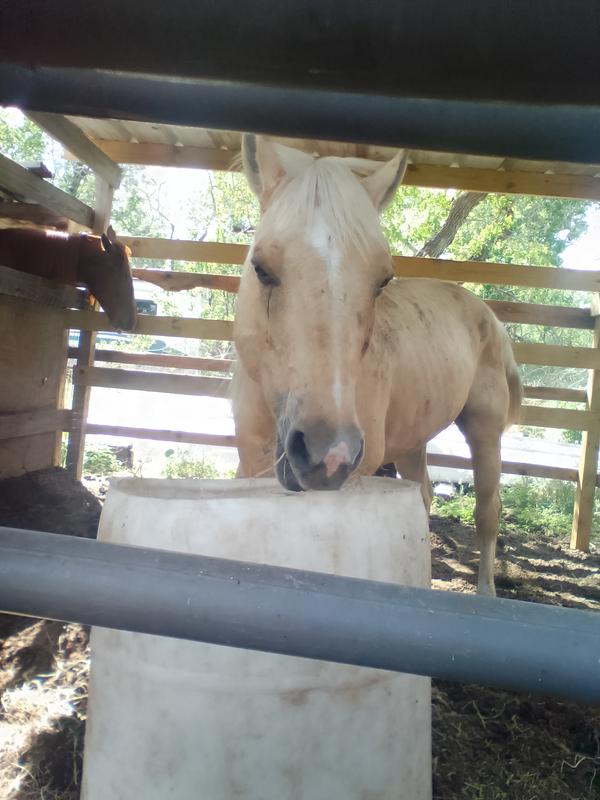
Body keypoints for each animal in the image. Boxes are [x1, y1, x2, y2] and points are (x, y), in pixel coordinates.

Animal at [232, 135, 523, 597]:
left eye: (382, 282)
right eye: (260, 268)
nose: (327, 454)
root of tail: (488, 314)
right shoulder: (246, 463)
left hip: (484, 429)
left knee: (487, 511)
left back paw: (486, 592)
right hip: (414, 437)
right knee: (424, 494)